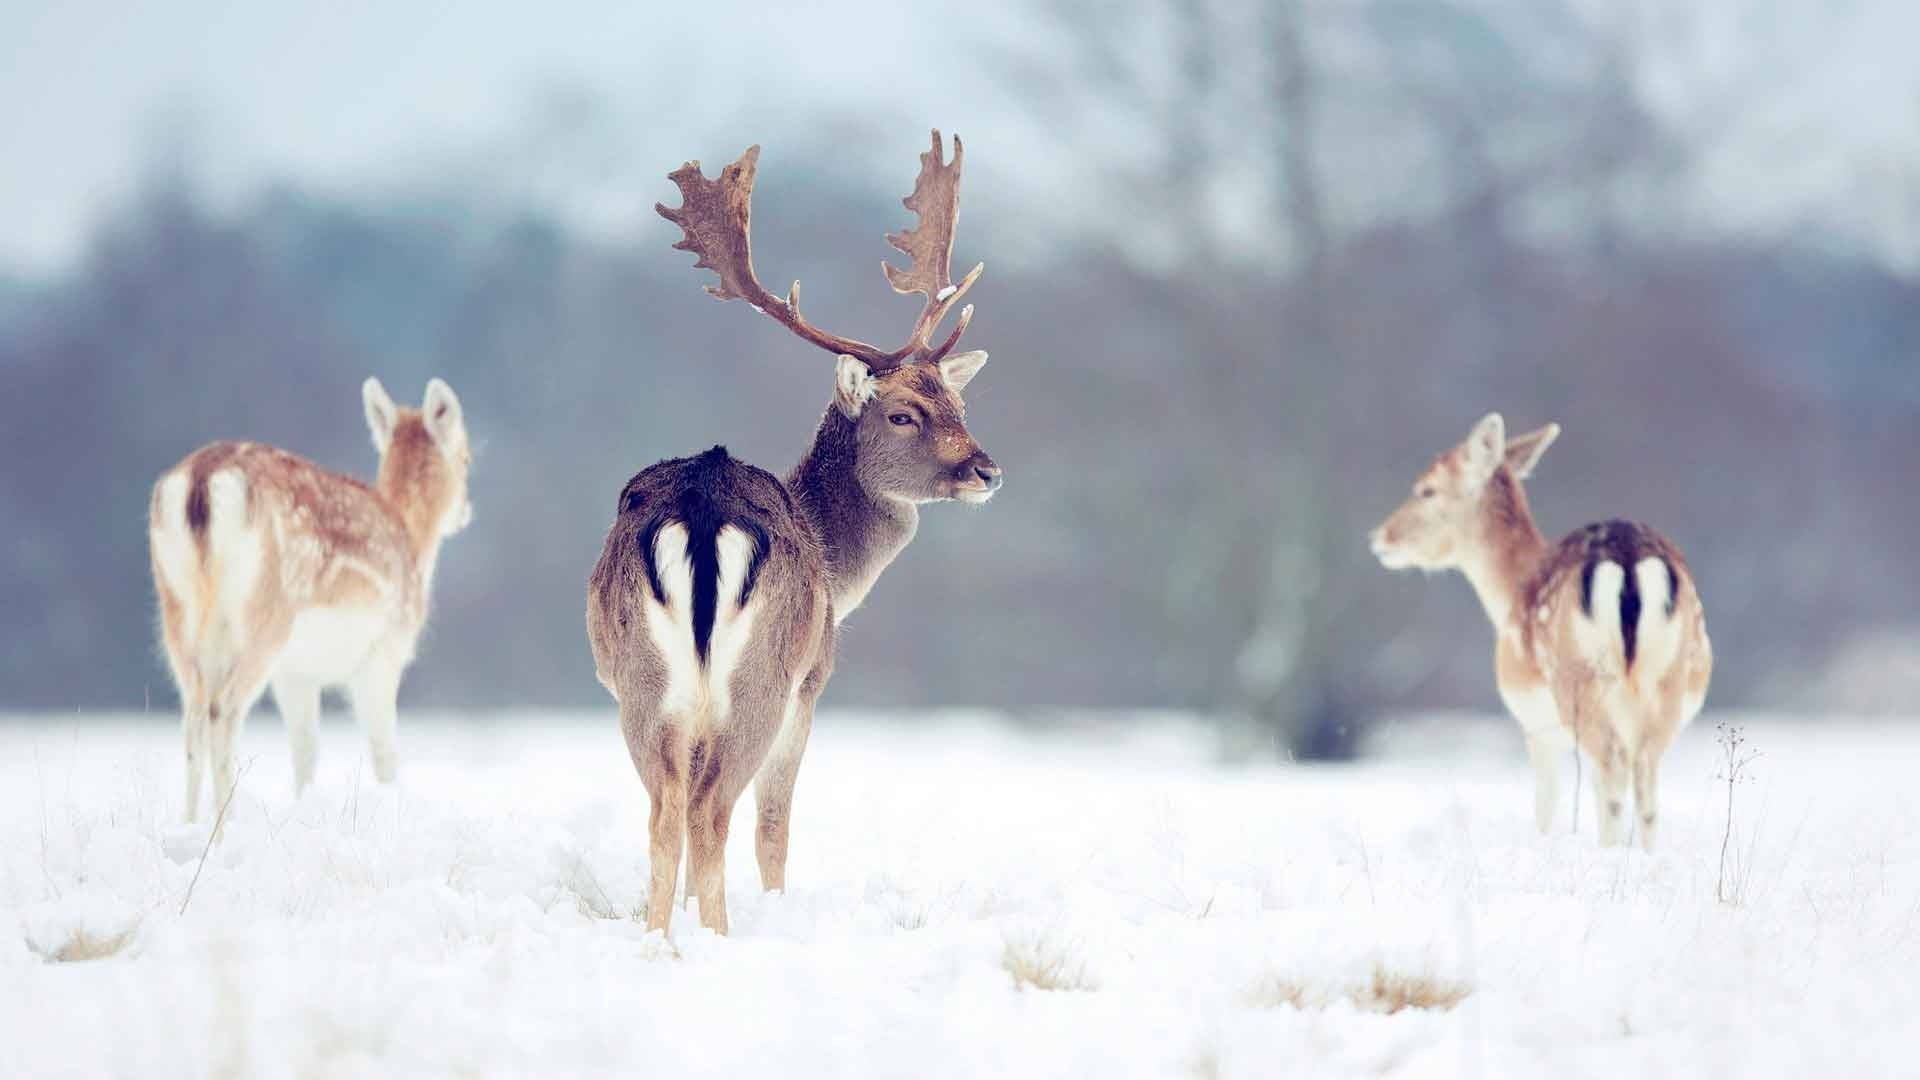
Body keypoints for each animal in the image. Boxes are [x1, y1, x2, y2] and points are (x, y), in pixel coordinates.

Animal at [149, 378, 474, 827]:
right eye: (467, 457)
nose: (466, 510)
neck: (413, 543)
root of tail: (200, 482)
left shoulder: (296, 673)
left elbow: (305, 754)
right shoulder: (383, 653)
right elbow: (385, 754)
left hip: (177, 610)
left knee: (192, 717)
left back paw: (190, 825)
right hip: (265, 616)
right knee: (222, 710)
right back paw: (224, 826)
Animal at [586, 131, 1002, 936]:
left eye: (958, 402)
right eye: (902, 413)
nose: (987, 469)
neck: (837, 566)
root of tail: (703, 507)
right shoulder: (813, 684)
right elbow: (774, 827)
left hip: (639, 684)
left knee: (666, 814)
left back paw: (661, 941)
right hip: (763, 680)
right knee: (714, 812)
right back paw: (720, 938)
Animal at [1369, 414, 1712, 850]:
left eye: (1427, 488)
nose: (1380, 537)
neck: (1509, 591)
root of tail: (1628, 560)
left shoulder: (1535, 724)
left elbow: (1545, 806)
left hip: (1579, 685)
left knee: (1614, 775)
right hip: (1667, 680)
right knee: (1645, 782)